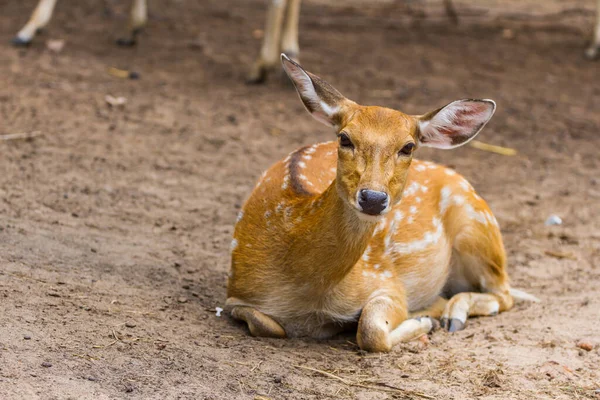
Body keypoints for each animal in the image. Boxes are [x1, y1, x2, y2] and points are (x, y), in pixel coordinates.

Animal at [226, 54, 540, 352]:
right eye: (344, 138)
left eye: (408, 147)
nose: (373, 198)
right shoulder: (236, 291)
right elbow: (266, 324)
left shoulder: (387, 282)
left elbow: (371, 330)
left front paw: (423, 319)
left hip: (478, 226)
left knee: (504, 294)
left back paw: (450, 315)